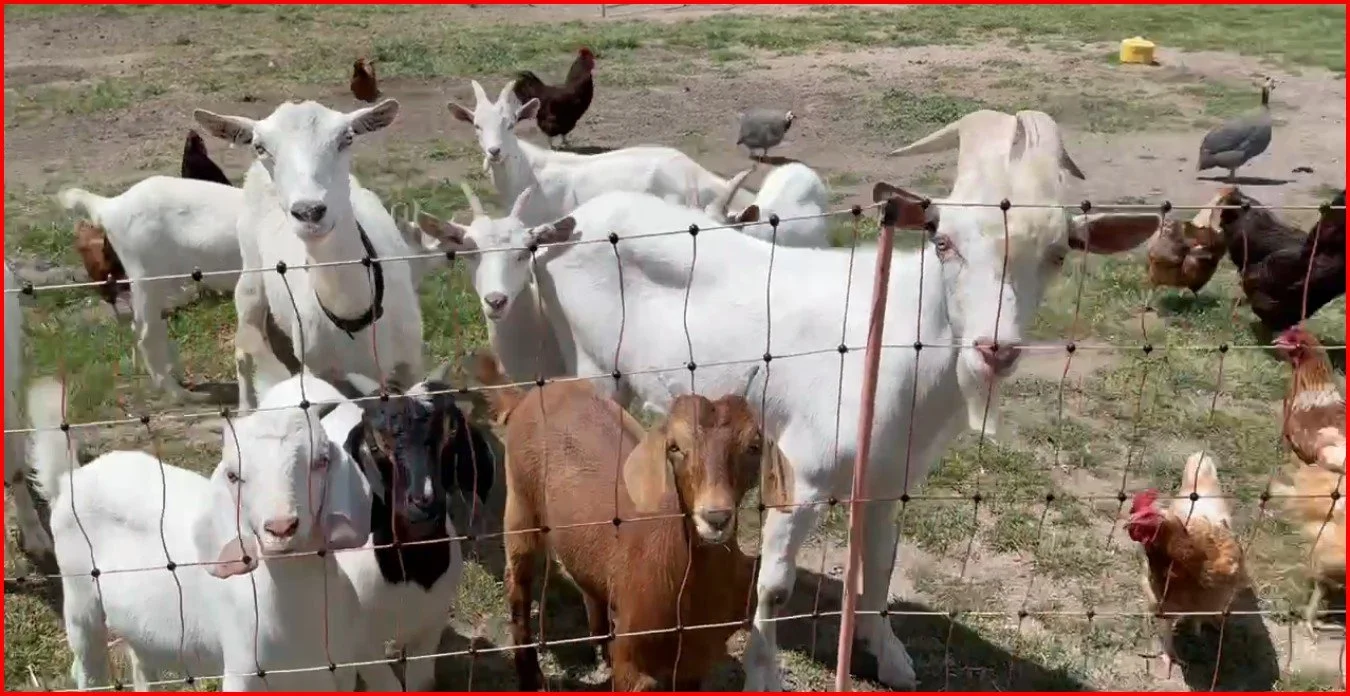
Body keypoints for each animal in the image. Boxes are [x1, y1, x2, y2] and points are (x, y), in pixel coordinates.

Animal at [29, 371, 380, 691]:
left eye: (322, 461)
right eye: (233, 475)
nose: (281, 528)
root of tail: (69, 479)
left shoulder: (339, 674)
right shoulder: (242, 673)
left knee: (141, 660)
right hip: (78, 595)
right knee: (89, 664)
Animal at [193, 98, 426, 414]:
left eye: (347, 138)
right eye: (260, 146)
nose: (309, 211)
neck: (354, 317)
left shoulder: (410, 364)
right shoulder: (322, 372)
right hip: (250, 277)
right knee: (244, 346)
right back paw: (245, 408)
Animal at [323, 369, 496, 690]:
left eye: (452, 431)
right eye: (375, 445)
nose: (423, 502)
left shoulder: (431, 625)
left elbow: (421, 681)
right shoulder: (361, 643)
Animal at [476, 351, 791, 691]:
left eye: (753, 447)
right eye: (674, 447)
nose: (715, 516)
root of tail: (529, 396)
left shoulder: (697, 659)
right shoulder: (633, 660)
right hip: (521, 503)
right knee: (517, 581)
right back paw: (530, 676)